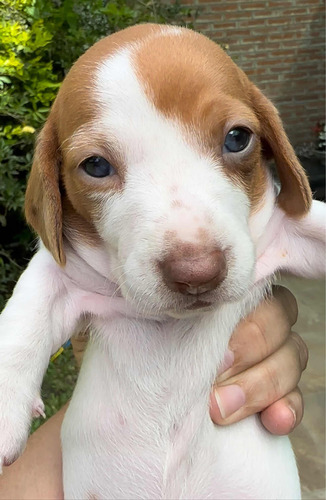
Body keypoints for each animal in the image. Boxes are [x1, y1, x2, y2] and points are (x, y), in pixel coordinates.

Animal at [0, 23, 326, 500]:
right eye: (95, 165)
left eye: (237, 138)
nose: (196, 274)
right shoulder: (62, 269)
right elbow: (25, 311)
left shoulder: (287, 233)